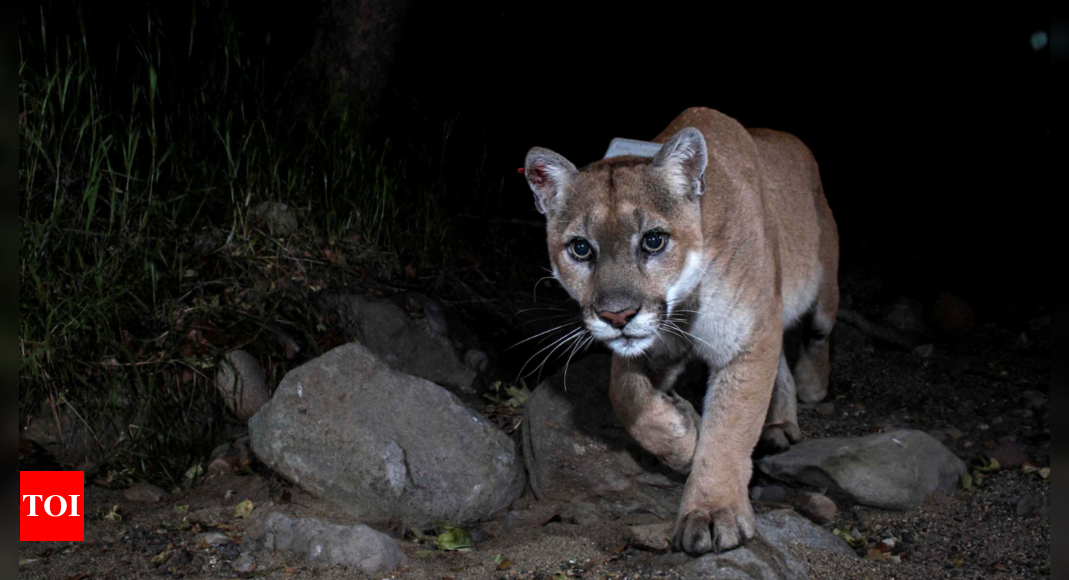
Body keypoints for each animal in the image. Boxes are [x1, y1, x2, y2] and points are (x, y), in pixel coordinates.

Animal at [521, 106, 838, 555]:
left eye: (653, 241)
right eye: (580, 248)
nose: (617, 316)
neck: (684, 304)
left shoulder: (747, 339)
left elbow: (730, 427)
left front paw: (712, 510)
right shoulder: (654, 346)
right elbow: (625, 396)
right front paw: (684, 438)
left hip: (822, 285)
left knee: (817, 333)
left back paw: (811, 387)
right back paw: (778, 424)